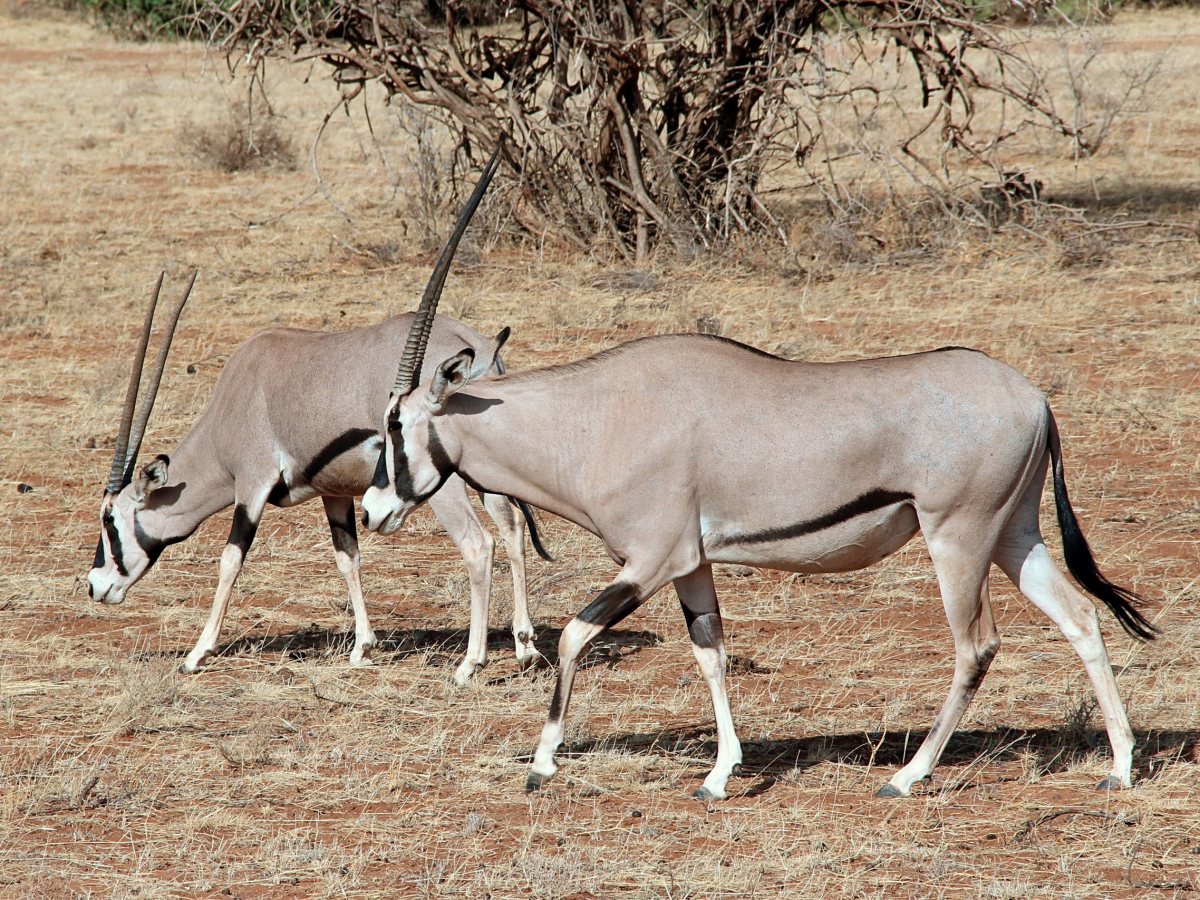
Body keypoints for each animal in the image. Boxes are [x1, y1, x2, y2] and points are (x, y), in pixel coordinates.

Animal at [88, 149, 549, 682]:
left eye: (110, 520)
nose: (95, 586)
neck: (233, 405)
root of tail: (479, 347)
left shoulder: (252, 484)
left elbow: (230, 559)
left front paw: (197, 653)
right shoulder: (335, 493)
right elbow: (347, 556)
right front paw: (363, 646)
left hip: (444, 485)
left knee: (478, 544)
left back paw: (473, 662)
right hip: (487, 470)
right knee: (512, 529)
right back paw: (523, 645)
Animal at [360, 292, 1158, 800]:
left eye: (395, 426)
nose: (369, 512)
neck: (594, 418)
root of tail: (1035, 398)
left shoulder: (649, 560)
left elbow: (574, 637)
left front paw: (543, 762)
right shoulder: (690, 565)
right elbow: (710, 653)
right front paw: (719, 775)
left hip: (958, 538)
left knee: (977, 645)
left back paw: (907, 776)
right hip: (1012, 536)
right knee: (1081, 618)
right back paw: (1119, 765)